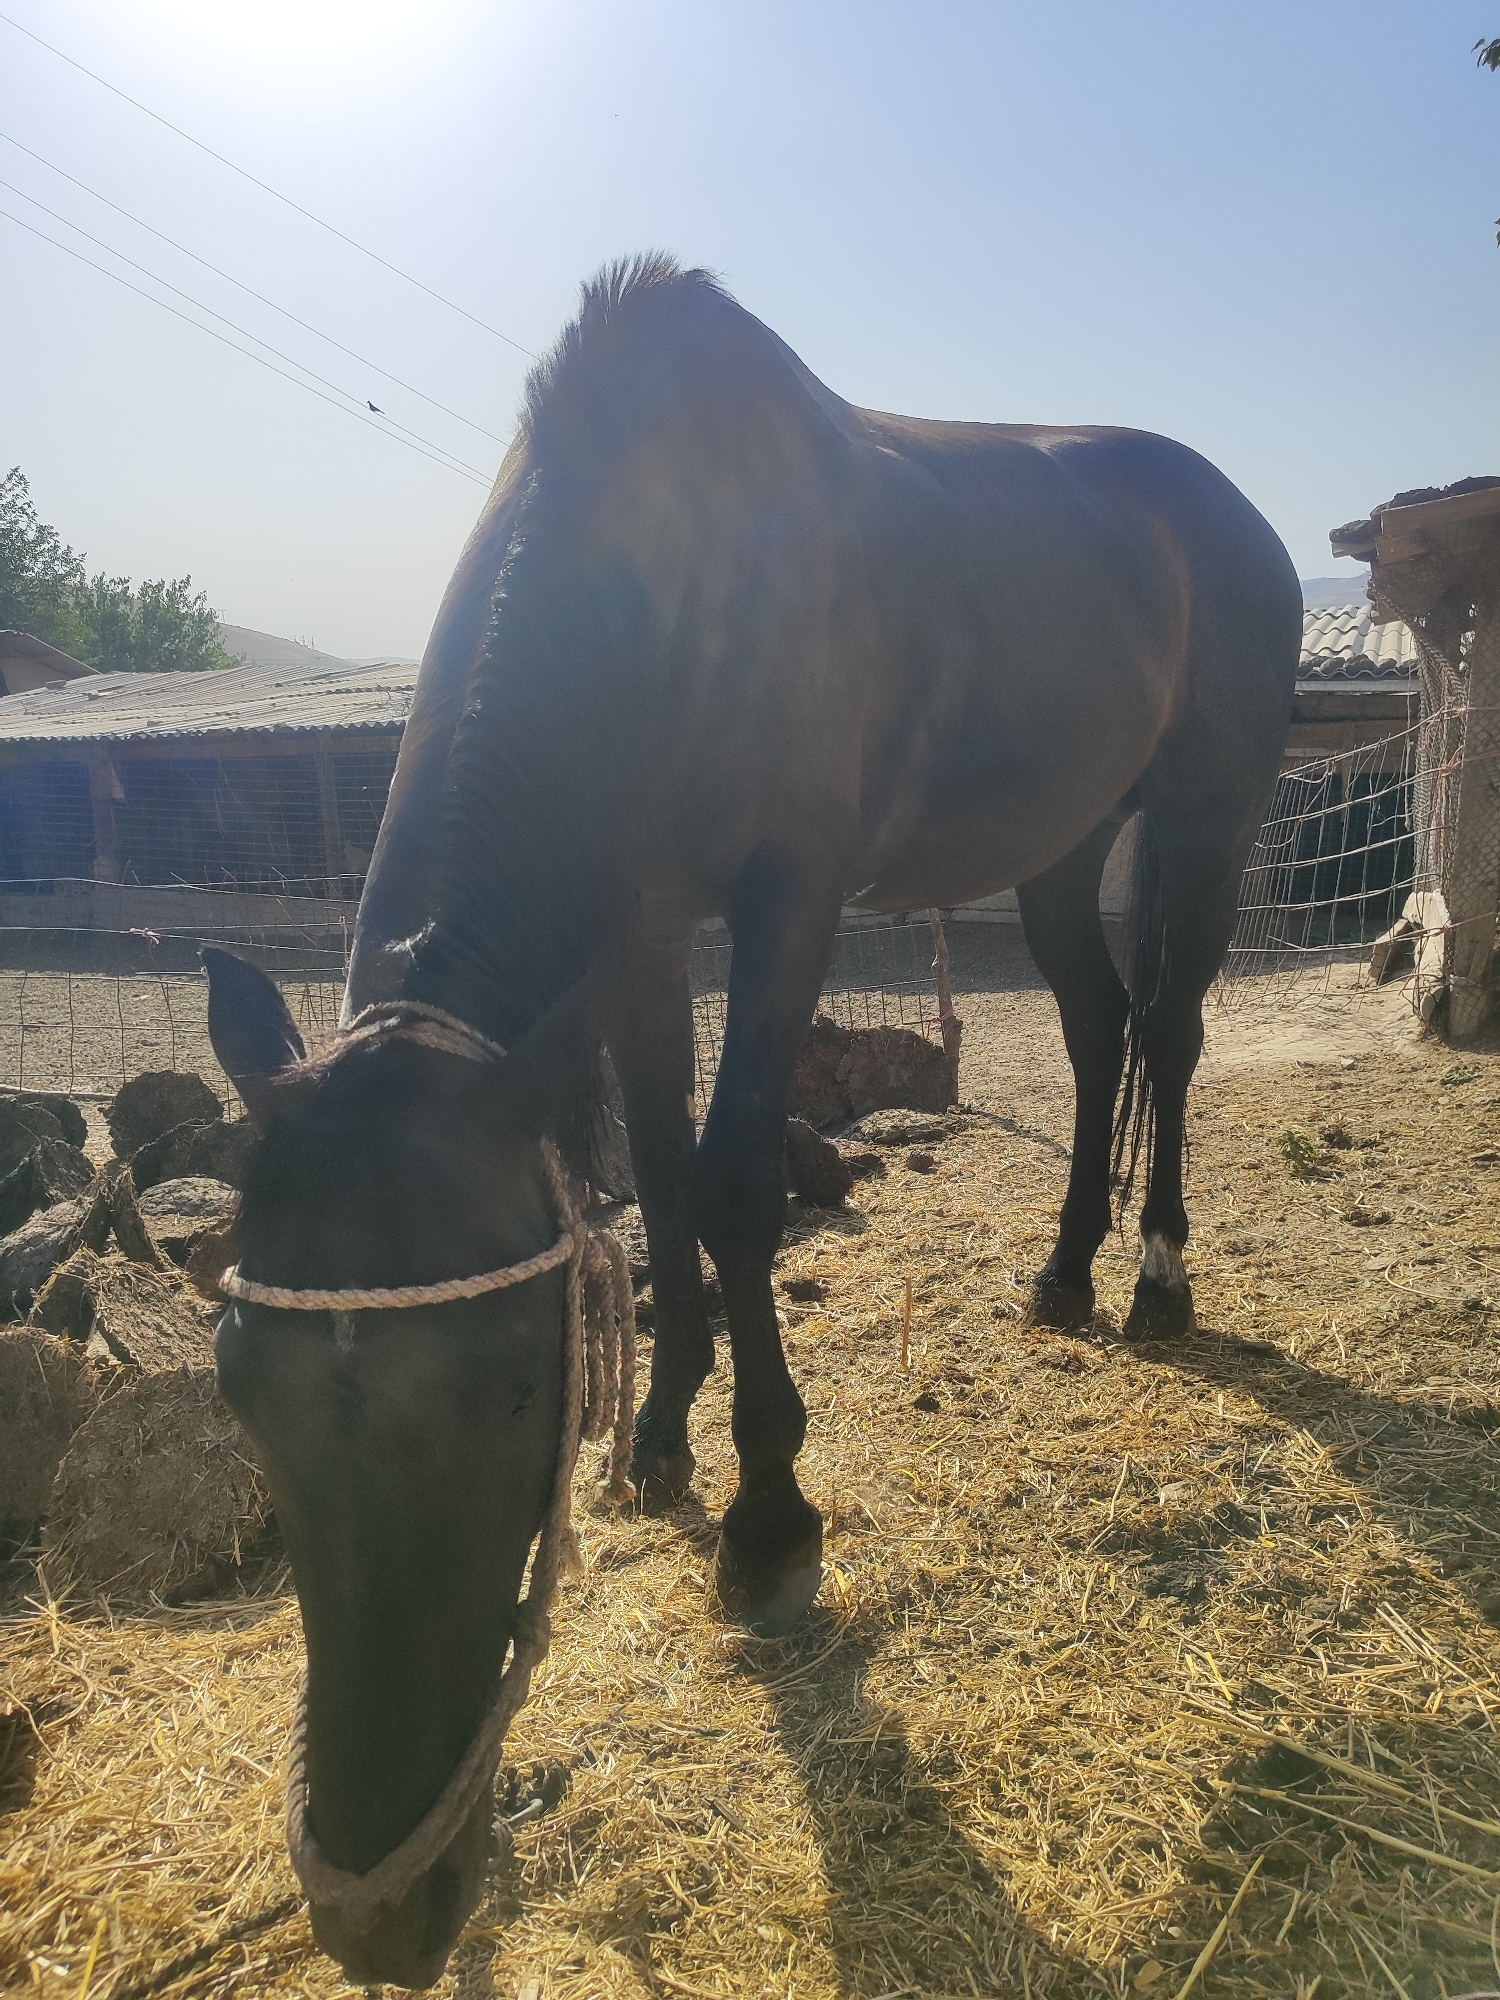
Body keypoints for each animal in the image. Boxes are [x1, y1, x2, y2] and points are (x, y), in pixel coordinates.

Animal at [204, 253, 1300, 1986]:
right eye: (241, 1392)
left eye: (515, 1392)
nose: (376, 1916)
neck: (649, 594)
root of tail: (1230, 512)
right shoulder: (645, 926)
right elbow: (655, 1177)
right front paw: (660, 1442)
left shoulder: (791, 896)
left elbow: (727, 1181)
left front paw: (770, 1513)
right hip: (1063, 841)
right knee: (1093, 1030)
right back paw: (1063, 1274)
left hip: (1207, 807)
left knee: (1172, 1035)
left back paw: (1156, 1280)